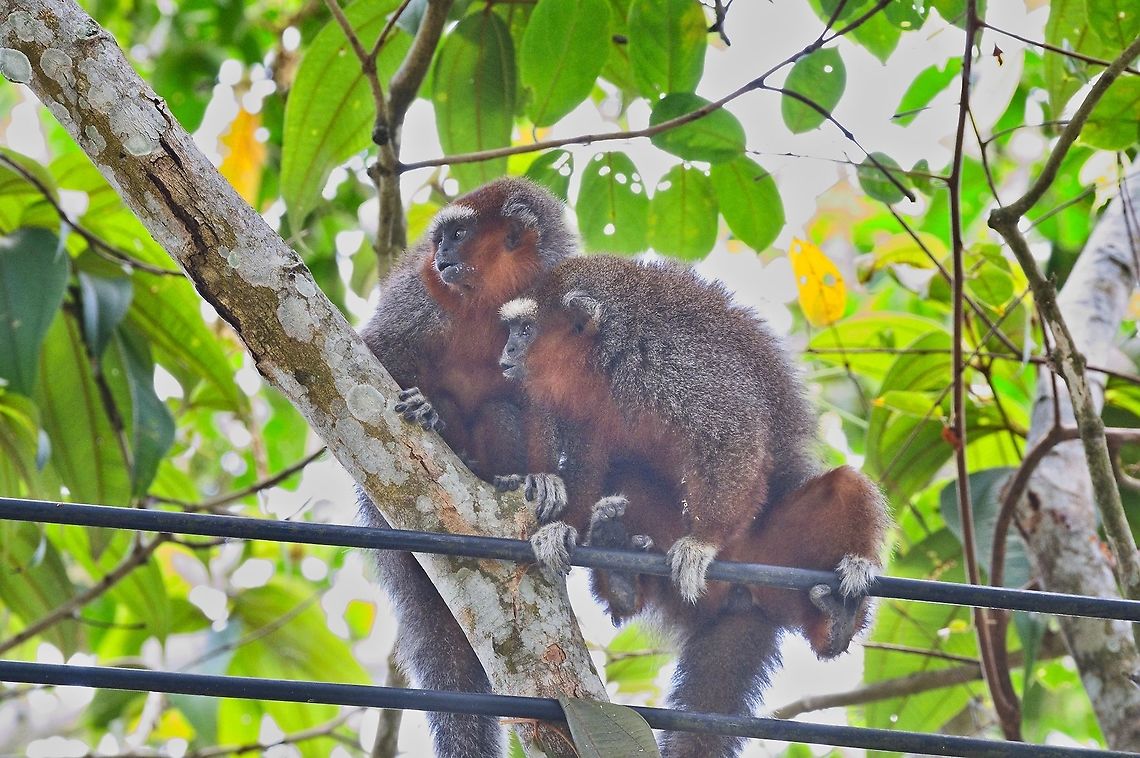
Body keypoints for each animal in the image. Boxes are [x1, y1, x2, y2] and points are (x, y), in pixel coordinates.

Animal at [355, 177, 576, 758]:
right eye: (439, 239)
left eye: (457, 235)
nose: (440, 254)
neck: (490, 301)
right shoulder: (418, 293)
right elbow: (375, 354)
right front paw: (425, 407)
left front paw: (545, 479)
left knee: (503, 409)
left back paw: (500, 475)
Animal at [497, 254, 820, 602]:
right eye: (513, 330)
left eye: (526, 330)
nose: (506, 350)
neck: (611, 357)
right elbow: (588, 456)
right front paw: (563, 527)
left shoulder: (679, 365)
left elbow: (735, 435)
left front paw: (704, 540)